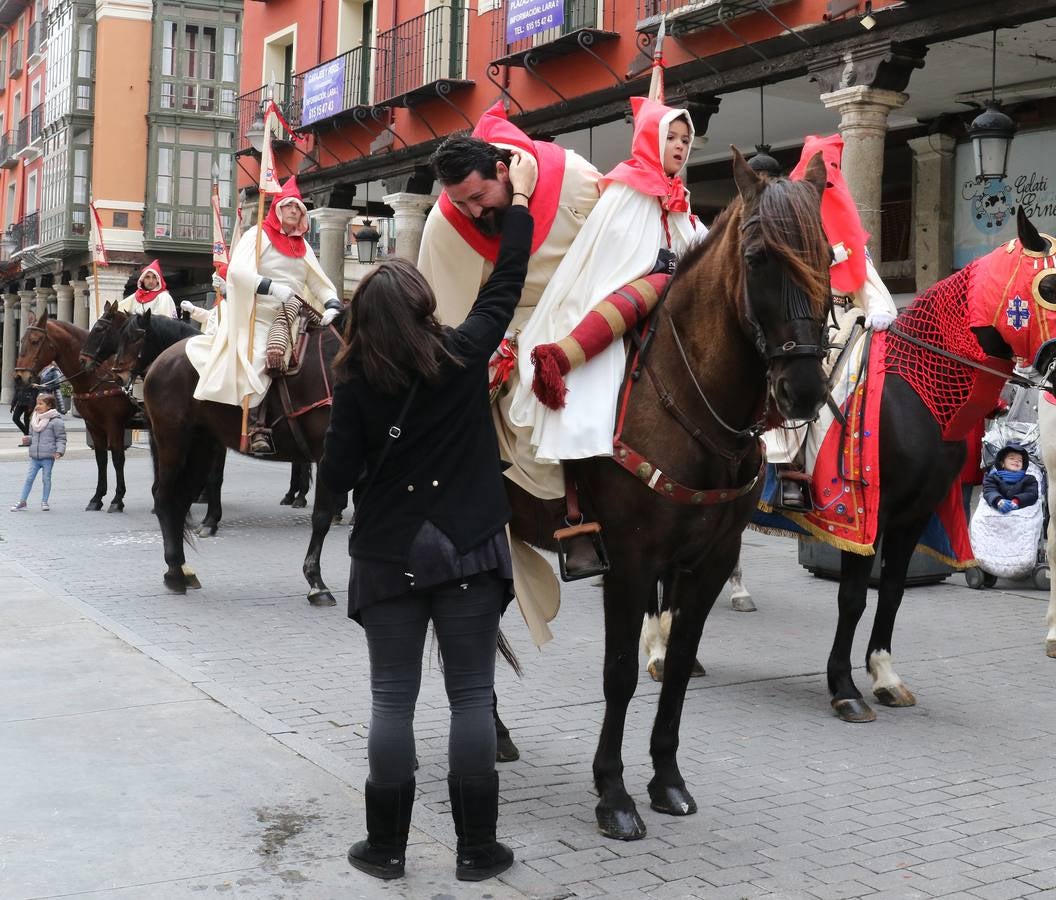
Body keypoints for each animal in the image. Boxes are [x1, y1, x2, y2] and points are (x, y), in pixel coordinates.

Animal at [14, 310, 137, 509]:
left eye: (34, 341)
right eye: (22, 340)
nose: (18, 377)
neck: (98, 375)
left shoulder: (115, 424)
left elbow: (118, 459)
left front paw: (117, 499)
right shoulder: (93, 424)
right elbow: (101, 458)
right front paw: (97, 497)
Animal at [502, 148, 832, 836]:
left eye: (828, 257)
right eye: (758, 258)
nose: (803, 389)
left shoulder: (708, 563)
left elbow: (678, 665)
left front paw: (666, 779)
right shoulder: (629, 562)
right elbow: (621, 672)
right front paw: (613, 793)